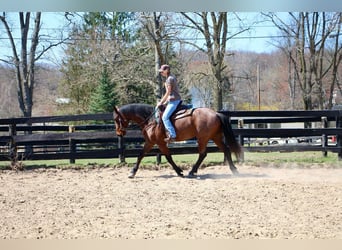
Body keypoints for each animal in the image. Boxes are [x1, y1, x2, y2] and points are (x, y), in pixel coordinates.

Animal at [113, 103, 242, 178]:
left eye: (116, 119)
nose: (119, 133)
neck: (151, 120)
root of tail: (215, 113)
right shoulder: (150, 142)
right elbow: (141, 155)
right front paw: (133, 172)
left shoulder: (159, 142)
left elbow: (168, 157)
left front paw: (179, 171)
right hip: (215, 137)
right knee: (226, 150)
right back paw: (234, 170)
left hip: (203, 138)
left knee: (202, 154)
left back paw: (192, 172)